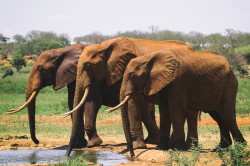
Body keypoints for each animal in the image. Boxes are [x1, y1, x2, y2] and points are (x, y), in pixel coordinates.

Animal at [107, 48, 246, 157]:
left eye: (132, 76)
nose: (132, 155)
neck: (149, 58)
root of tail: (231, 68)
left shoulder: (179, 80)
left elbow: (175, 108)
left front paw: (175, 146)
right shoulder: (163, 81)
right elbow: (164, 110)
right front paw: (161, 147)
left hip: (229, 86)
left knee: (226, 116)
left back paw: (241, 147)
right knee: (218, 117)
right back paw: (221, 148)